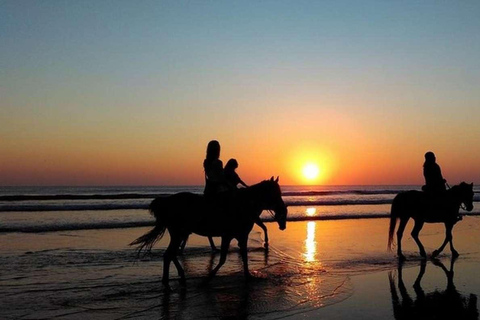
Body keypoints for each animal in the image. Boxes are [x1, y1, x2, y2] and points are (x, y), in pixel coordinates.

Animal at [129, 178, 286, 290]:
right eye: (275, 193)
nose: (283, 210)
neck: (243, 204)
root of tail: (166, 202)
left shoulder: (240, 236)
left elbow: (244, 257)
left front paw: (248, 277)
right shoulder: (228, 236)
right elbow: (223, 259)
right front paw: (207, 280)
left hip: (179, 234)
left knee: (170, 254)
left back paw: (178, 278)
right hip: (179, 233)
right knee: (169, 254)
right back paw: (171, 281)